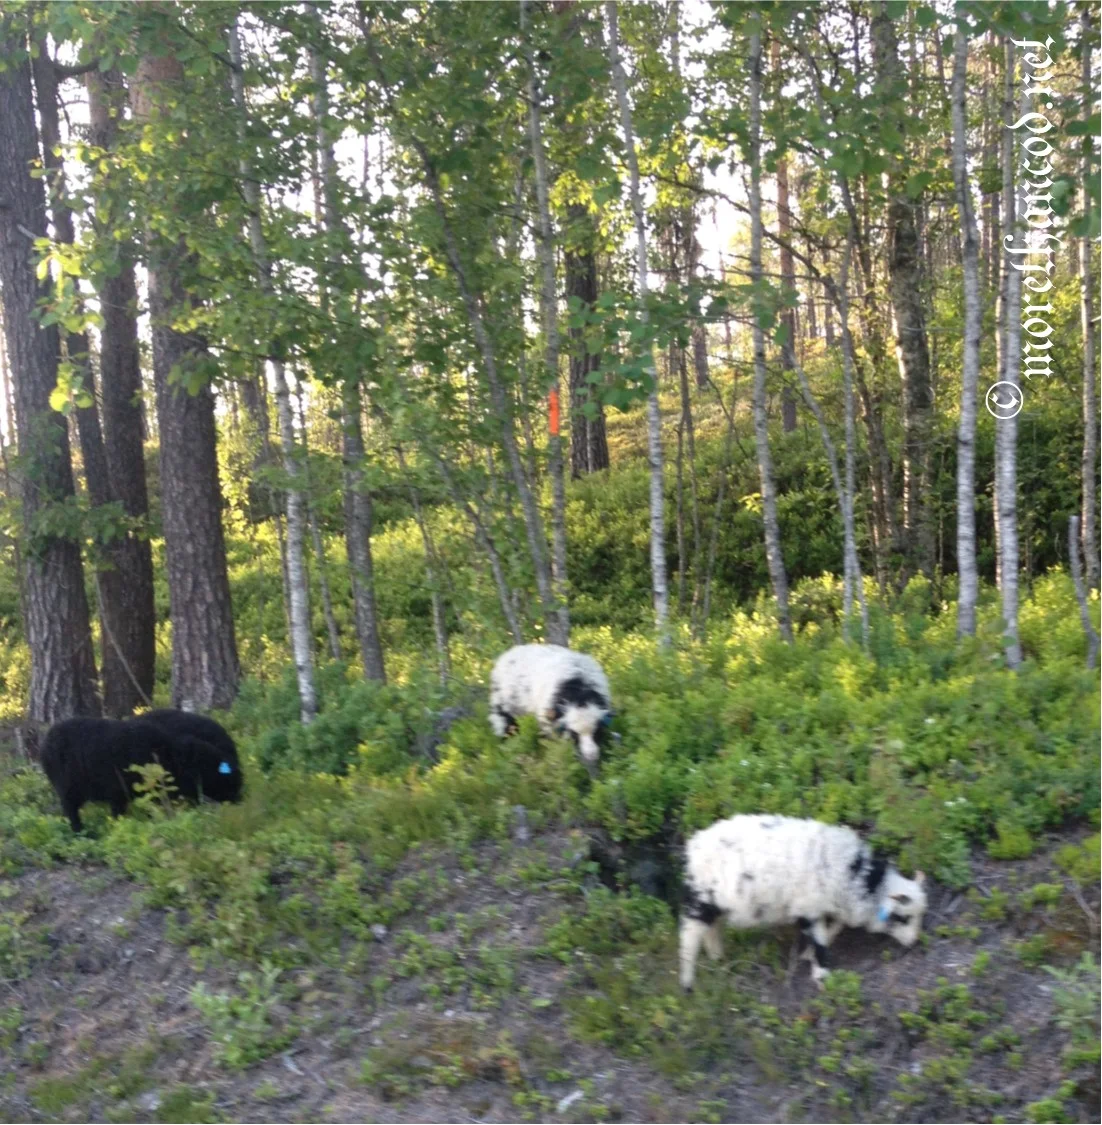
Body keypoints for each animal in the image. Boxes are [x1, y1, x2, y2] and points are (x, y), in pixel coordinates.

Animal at [39, 716, 244, 832]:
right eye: (210, 771)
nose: (239, 800)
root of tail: (46, 740)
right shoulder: (118, 789)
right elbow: (118, 812)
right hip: (67, 785)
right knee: (70, 809)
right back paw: (81, 831)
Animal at [679, 814, 927, 990]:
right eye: (903, 918)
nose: (913, 942)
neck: (859, 879)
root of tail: (693, 846)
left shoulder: (827, 906)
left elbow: (834, 927)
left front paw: (811, 956)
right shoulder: (808, 908)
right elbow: (819, 939)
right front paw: (821, 972)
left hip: (717, 904)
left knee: (712, 929)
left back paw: (717, 957)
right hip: (702, 900)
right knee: (690, 936)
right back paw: (687, 981)